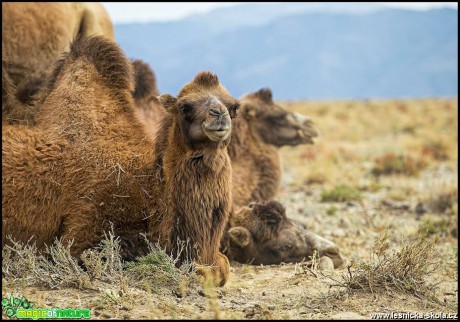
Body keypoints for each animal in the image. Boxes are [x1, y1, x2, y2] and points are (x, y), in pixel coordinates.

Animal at [2, 35, 241, 286]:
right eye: (184, 107)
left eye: (234, 107)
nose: (220, 115)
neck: (154, 193)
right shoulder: (87, 228)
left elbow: (222, 267)